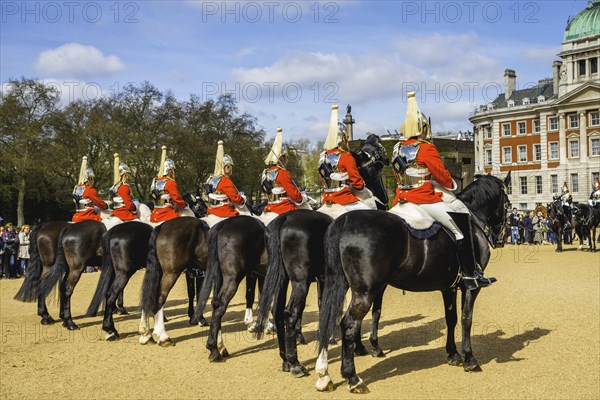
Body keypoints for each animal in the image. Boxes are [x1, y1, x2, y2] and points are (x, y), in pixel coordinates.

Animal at [252, 134, 390, 378]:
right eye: (376, 154)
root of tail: (283, 220)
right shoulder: (372, 284)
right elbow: (372, 312)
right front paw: (369, 346)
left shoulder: (328, 280)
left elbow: (329, 307)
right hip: (300, 280)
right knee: (289, 313)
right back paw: (295, 363)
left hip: (283, 278)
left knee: (277, 312)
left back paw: (286, 359)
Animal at [316, 173, 508, 392]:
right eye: (507, 202)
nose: (501, 237)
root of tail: (345, 220)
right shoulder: (470, 287)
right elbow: (467, 318)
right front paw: (469, 358)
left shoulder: (448, 287)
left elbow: (451, 319)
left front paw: (453, 354)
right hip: (365, 292)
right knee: (348, 324)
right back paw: (353, 377)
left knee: (329, 320)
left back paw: (325, 375)